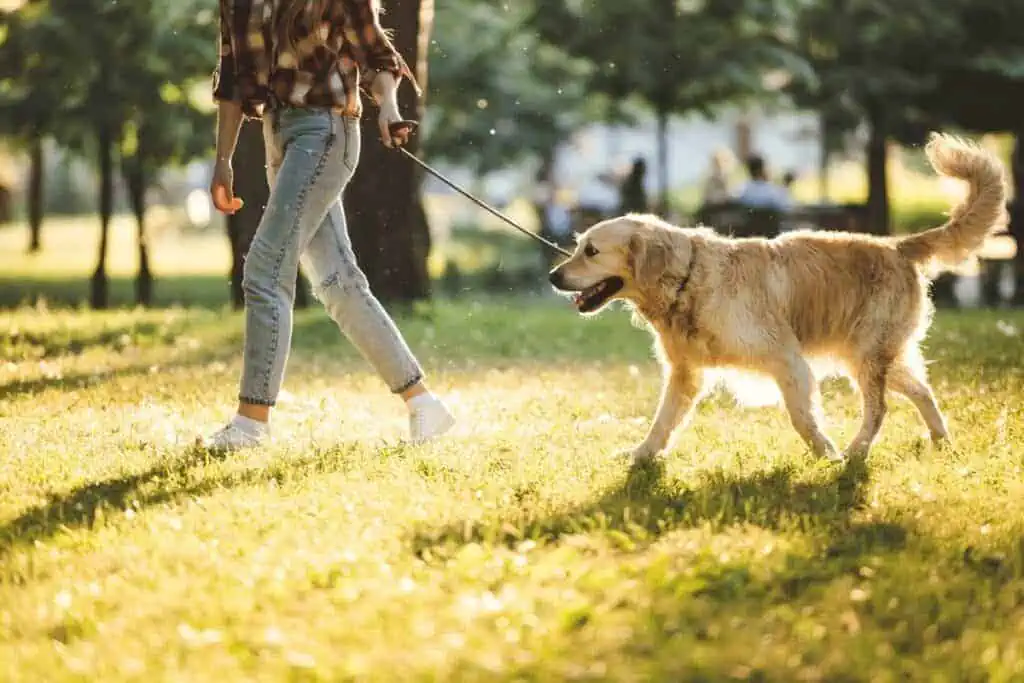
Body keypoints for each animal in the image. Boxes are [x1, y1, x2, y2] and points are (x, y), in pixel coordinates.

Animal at [552, 133, 1007, 462]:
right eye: (578, 246)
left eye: (591, 251)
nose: (554, 276)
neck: (688, 280)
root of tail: (897, 245)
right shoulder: (685, 373)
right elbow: (662, 422)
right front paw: (641, 456)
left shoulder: (787, 360)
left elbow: (802, 418)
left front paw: (827, 455)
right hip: (871, 354)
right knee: (921, 391)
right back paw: (941, 442)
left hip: (868, 354)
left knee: (879, 409)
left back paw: (857, 452)